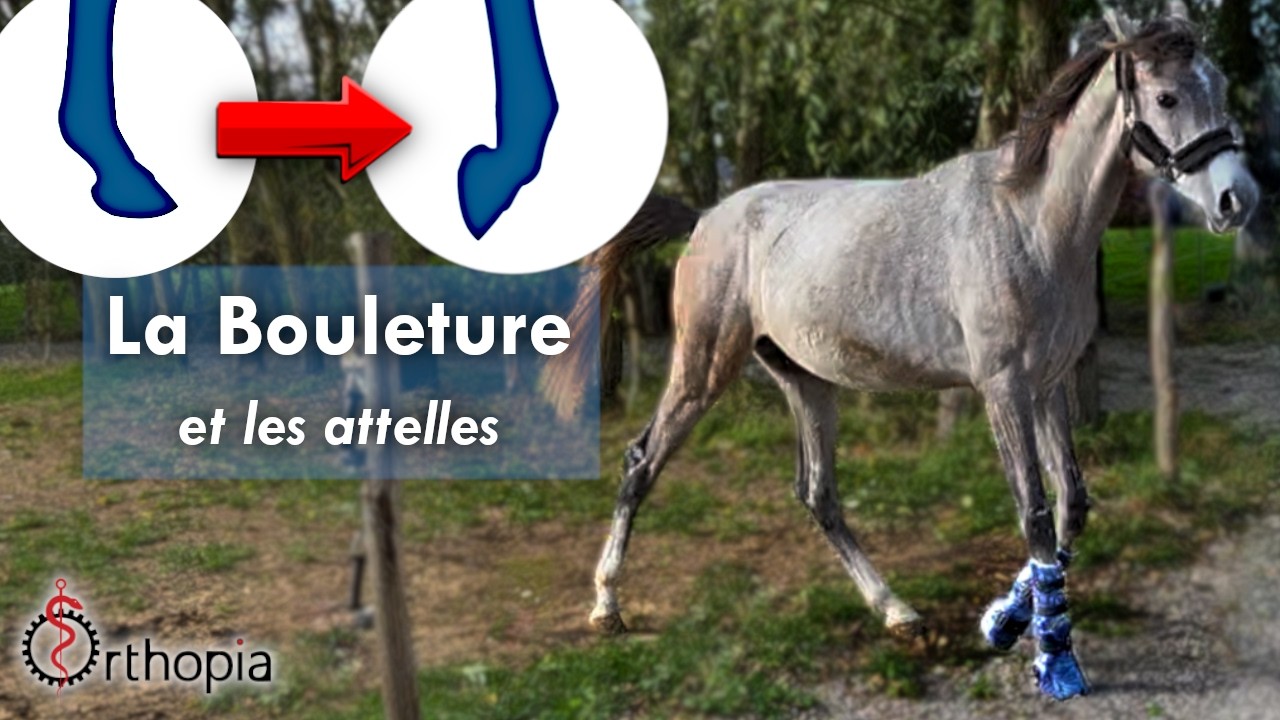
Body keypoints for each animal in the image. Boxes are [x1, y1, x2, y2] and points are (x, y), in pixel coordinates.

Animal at [542, 12, 1258, 700]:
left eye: (1220, 86)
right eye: (1166, 97)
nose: (1238, 200)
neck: (1029, 220)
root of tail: (704, 220)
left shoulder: (1048, 385)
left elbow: (1071, 505)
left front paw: (1007, 620)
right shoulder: (1004, 388)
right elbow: (1035, 511)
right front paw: (1056, 662)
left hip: (807, 382)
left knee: (818, 494)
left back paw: (897, 612)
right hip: (702, 368)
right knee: (642, 461)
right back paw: (607, 606)